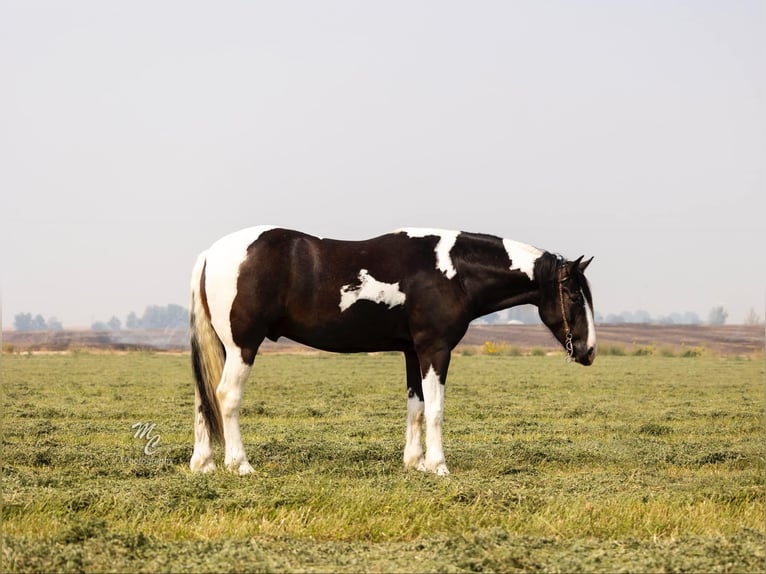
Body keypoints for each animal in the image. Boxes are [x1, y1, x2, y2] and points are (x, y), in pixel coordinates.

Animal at [189, 226, 596, 476]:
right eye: (575, 296)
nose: (589, 351)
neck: (453, 272)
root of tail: (210, 253)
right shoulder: (435, 350)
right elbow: (435, 410)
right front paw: (439, 466)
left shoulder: (413, 353)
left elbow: (415, 408)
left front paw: (416, 463)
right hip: (242, 346)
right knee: (226, 397)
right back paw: (240, 464)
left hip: (223, 347)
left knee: (203, 396)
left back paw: (203, 463)